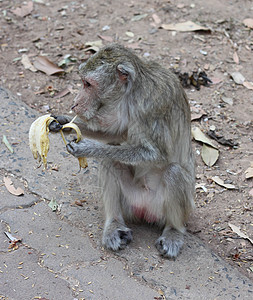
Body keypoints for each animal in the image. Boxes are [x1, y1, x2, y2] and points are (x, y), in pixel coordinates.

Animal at [50, 44, 196, 258]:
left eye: (88, 84)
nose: (75, 103)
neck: (132, 93)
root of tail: (145, 211)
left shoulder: (150, 106)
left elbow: (157, 155)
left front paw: (88, 148)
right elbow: (118, 134)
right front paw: (62, 122)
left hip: (170, 208)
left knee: (173, 171)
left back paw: (174, 231)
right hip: (130, 203)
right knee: (110, 162)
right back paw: (114, 223)